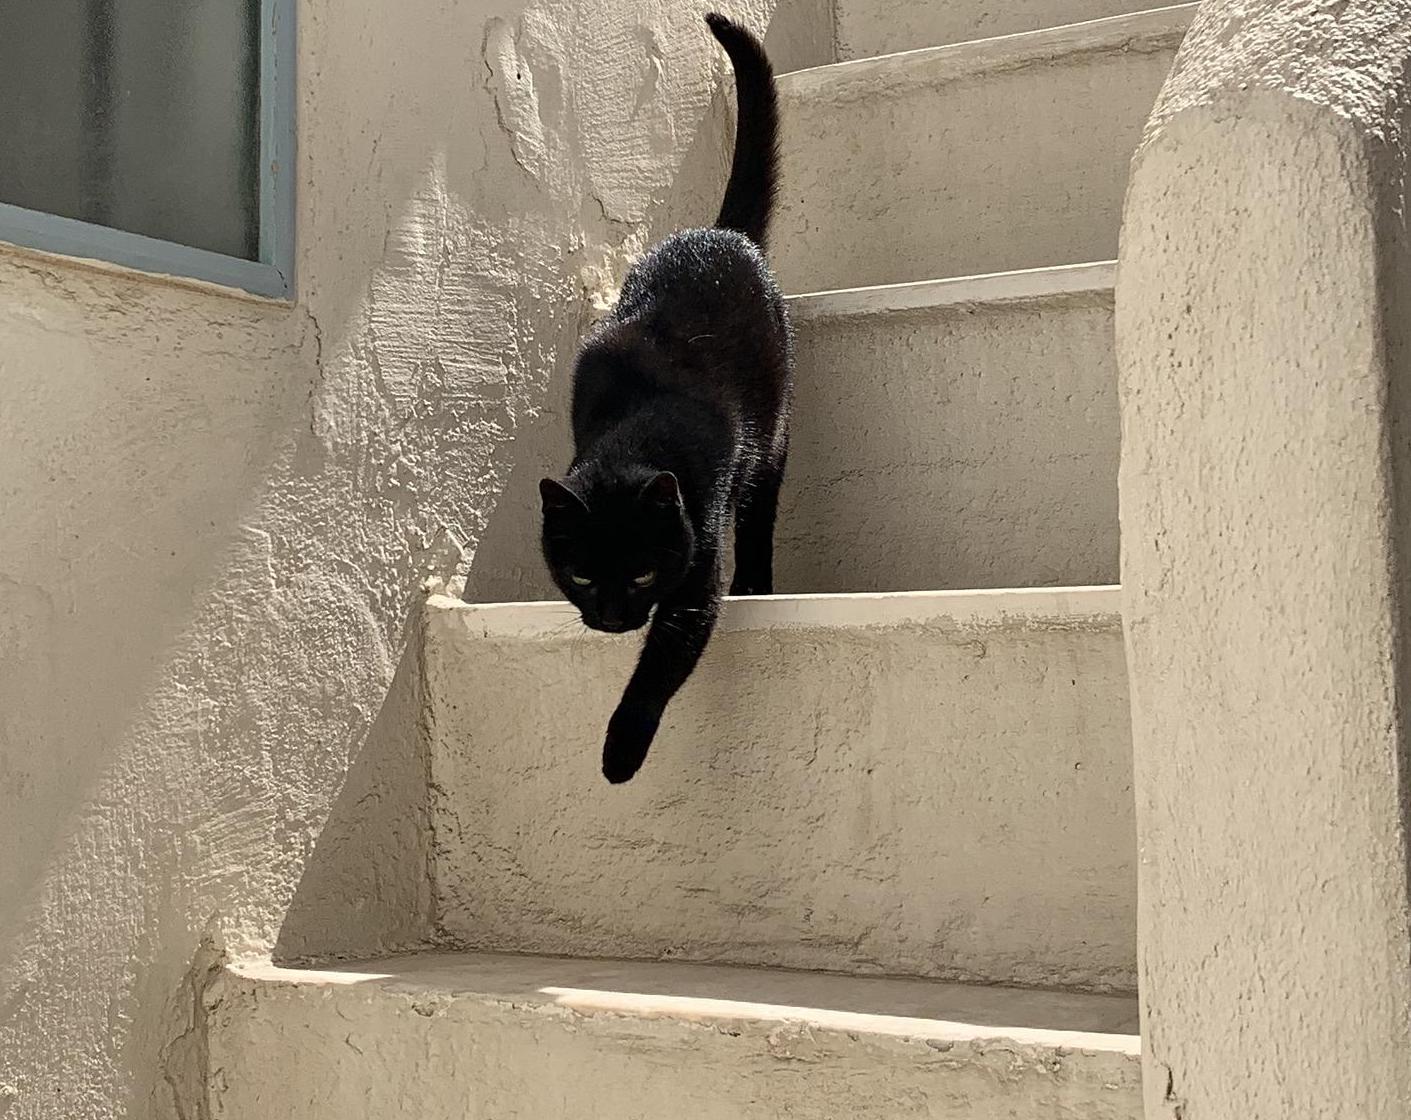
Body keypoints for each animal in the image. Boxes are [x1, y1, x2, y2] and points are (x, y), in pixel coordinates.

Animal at [536, 8, 790, 778]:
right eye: (582, 576)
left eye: (644, 576)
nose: (614, 618)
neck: (637, 423)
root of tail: (723, 233)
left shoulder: (696, 561)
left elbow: (664, 659)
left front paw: (619, 754)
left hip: (774, 436)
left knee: (762, 512)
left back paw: (758, 585)